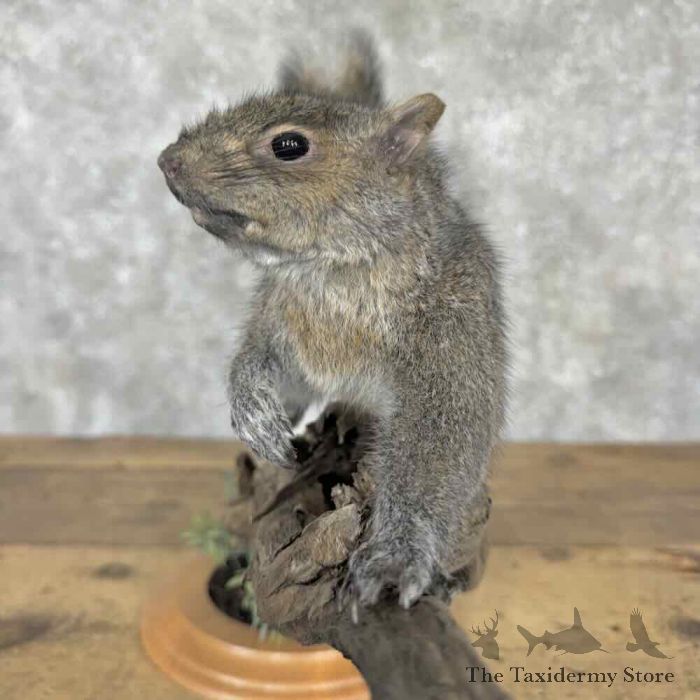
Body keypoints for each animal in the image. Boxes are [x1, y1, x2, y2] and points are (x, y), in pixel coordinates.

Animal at [158, 32, 507, 610]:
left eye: (289, 145)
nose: (167, 160)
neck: (331, 270)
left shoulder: (451, 336)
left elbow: (440, 439)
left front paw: (396, 553)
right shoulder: (277, 315)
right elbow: (264, 362)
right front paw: (253, 408)